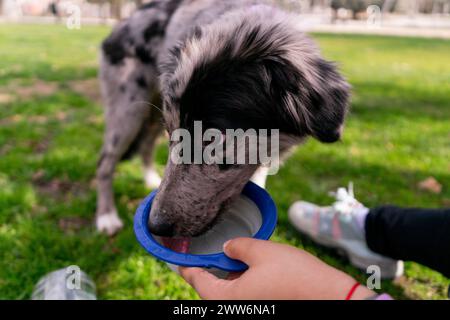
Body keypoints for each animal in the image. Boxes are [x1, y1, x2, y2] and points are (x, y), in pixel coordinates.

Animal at [95, 0, 350, 242]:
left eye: (214, 137)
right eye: (173, 133)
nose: (155, 226)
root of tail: (121, 25)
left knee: (145, 146)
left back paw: (149, 180)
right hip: (128, 113)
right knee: (105, 162)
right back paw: (106, 217)